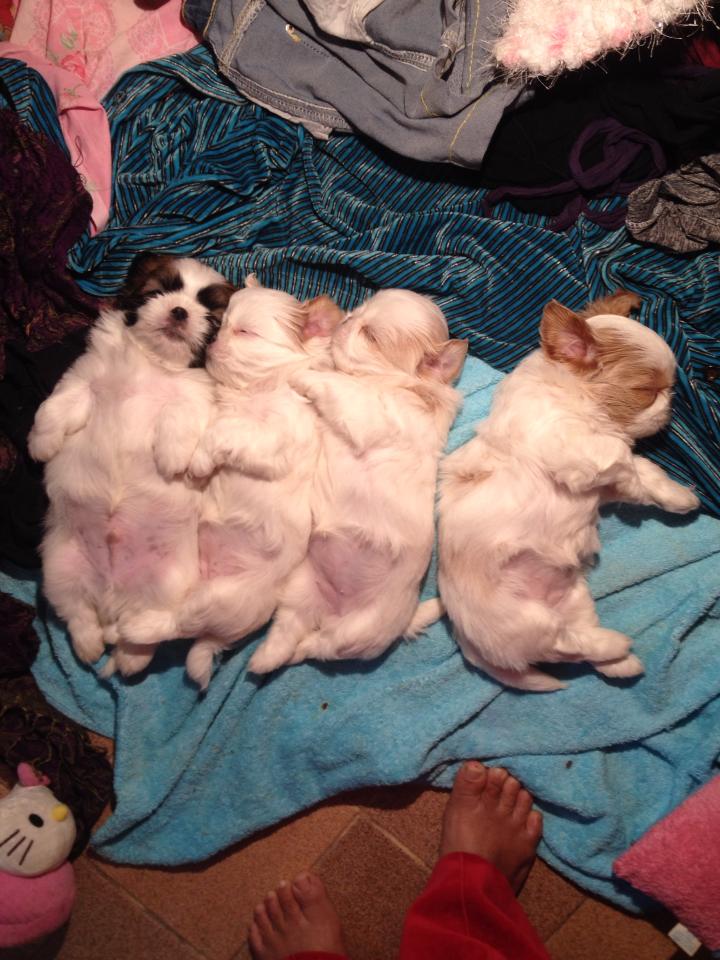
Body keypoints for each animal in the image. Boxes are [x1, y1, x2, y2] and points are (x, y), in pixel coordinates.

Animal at [28, 253, 234, 675]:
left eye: (211, 315)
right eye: (159, 290)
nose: (179, 311)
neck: (153, 362)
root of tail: (113, 599)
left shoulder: (193, 397)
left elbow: (180, 415)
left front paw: (173, 459)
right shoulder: (83, 381)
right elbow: (54, 407)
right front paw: (41, 444)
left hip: (168, 584)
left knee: (145, 631)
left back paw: (129, 658)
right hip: (59, 569)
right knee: (78, 614)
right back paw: (91, 645)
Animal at [248, 288, 467, 674]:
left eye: (372, 336)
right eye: (359, 311)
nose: (348, 319)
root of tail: (330, 609)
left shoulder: (368, 413)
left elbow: (338, 385)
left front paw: (306, 373)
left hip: (360, 631)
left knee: (319, 648)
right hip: (299, 589)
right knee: (289, 636)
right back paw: (263, 660)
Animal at [437, 291, 700, 692]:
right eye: (647, 391)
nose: (670, 404)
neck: (573, 399)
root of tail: (464, 639)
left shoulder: (595, 481)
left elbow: (643, 470)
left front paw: (677, 496)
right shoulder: (566, 446)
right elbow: (622, 455)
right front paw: (642, 482)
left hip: (574, 598)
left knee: (577, 645)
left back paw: (621, 663)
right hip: (522, 619)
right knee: (560, 644)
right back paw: (617, 644)